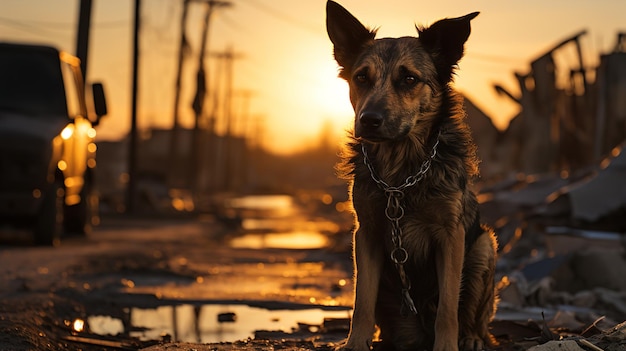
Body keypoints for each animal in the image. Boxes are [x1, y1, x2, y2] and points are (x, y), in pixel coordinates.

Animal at [326, 1, 498, 350]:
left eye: (408, 78)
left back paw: (472, 338)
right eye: (361, 77)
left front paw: (447, 346)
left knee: (476, 318)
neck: (400, 174)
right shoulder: (366, 234)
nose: (369, 120)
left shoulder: (451, 237)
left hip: (484, 246)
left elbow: (448, 308)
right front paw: (355, 343)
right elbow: (361, 301)